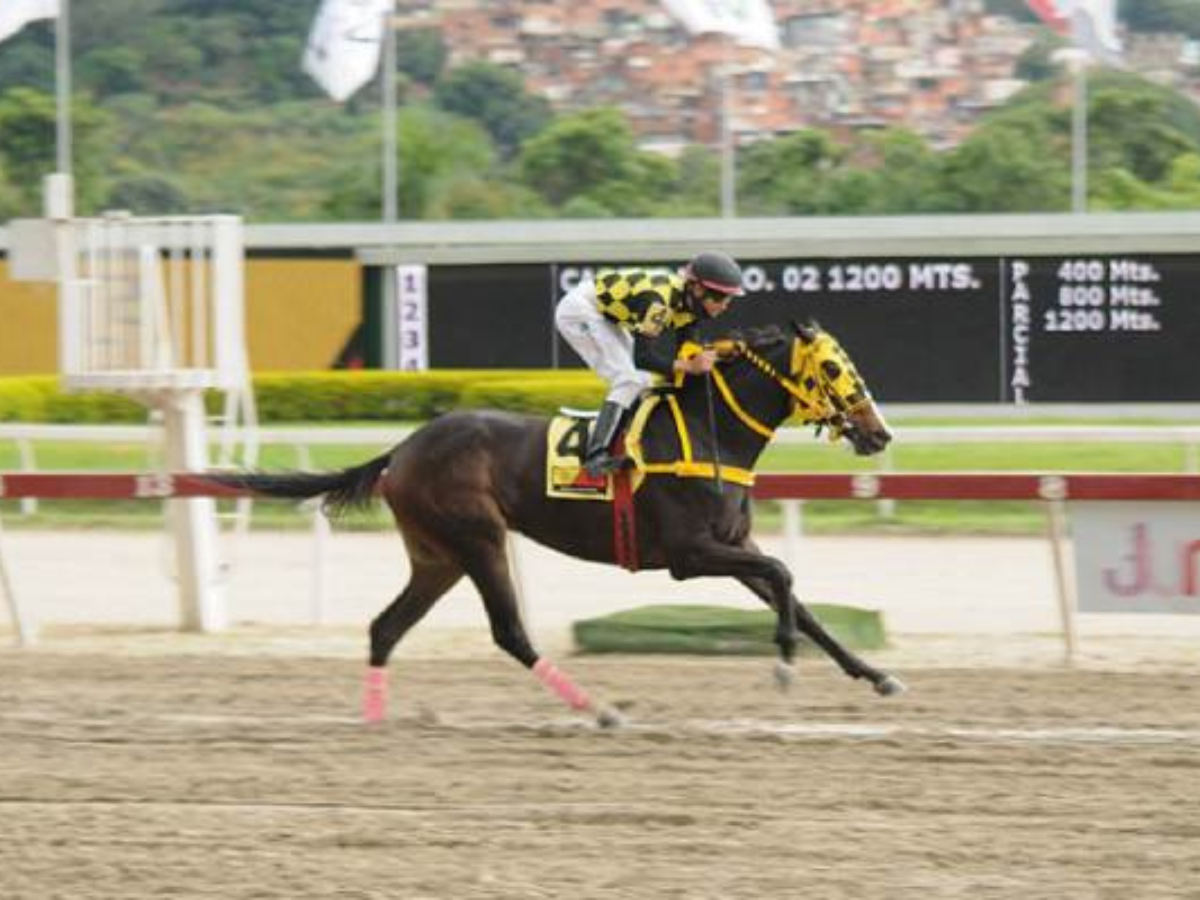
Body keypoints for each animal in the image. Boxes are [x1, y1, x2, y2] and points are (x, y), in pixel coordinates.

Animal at [216, 324, 902, 724]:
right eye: (834, 369)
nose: (879, 433)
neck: (712, 430)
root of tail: (403, 447)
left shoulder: (732, 544)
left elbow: (799, 599)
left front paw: (874, 676)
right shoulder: (689, 554)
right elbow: (784, 574)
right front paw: (783, 662)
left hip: (438, 557)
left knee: (386, 628)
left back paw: (376, 718)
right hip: (479, 539)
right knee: (509, 633)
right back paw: (598, 709)